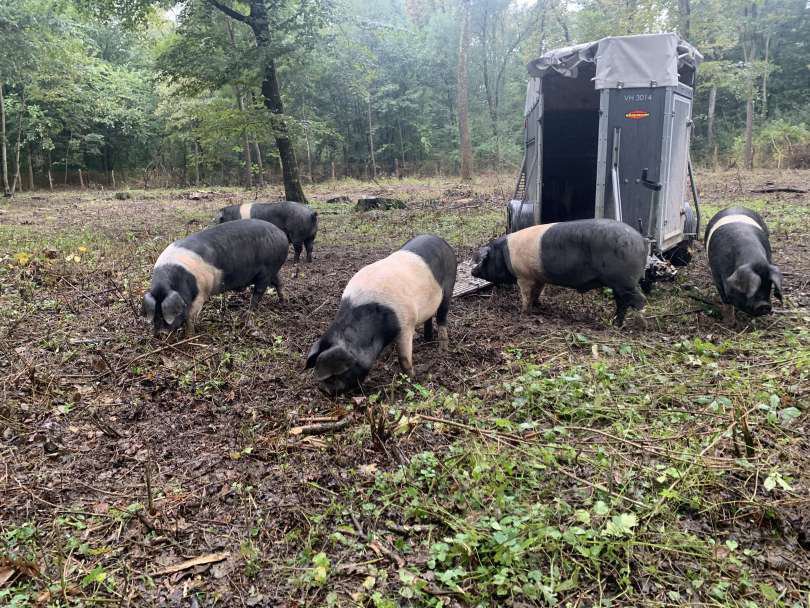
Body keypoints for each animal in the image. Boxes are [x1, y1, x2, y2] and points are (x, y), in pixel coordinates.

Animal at [143, 218, 288, 334]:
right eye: (155, 313)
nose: (161, 333)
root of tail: (282, 234)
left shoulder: (201, 294)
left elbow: (190, 317)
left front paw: (189, 336)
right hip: (273, 270)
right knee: (278, 283)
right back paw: (283, 301)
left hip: (267, 270)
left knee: (258, 293)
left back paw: (249, 313)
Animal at [304, 233, 454, 394]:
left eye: (334, 376)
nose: (324, 391)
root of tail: (441, 240)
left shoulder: (406, 324)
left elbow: (404, 358)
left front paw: (412, 378)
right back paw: (427, 340)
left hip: (449, 286)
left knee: (442, 317)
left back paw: (442, 349)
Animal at [470, 220, 648, 328]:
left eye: (484, 260)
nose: (472, 271)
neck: (505, 254)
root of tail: (641, 240)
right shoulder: (538, 277)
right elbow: (536, 292)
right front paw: (538, 305)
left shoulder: (524, 276)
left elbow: (526, 295)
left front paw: (523, 312)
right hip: (621, 283)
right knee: (623, 302)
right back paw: (615, 323)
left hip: (623, 280)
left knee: (638, 300)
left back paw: (637, 324)